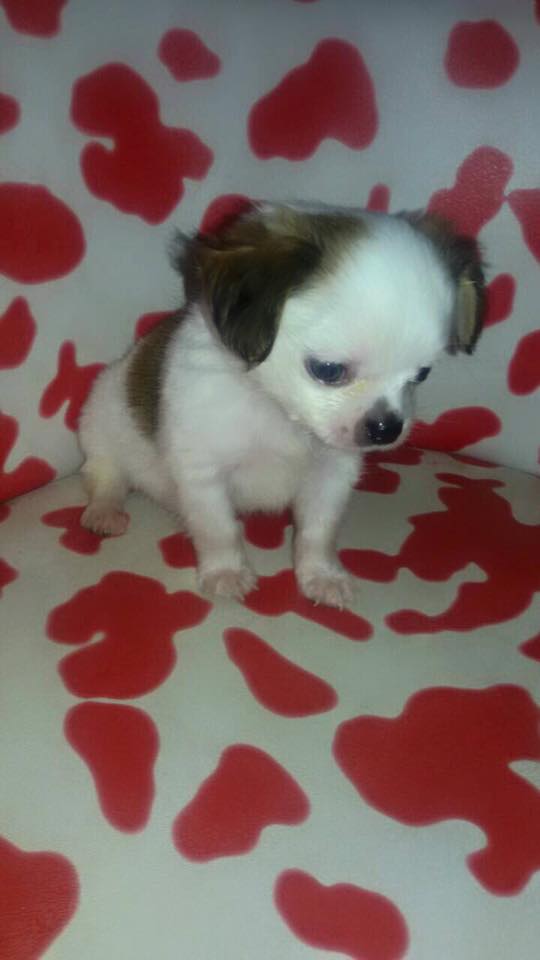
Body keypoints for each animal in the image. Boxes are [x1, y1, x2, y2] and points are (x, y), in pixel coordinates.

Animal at [78, 202, 485, 607]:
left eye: (422, 374)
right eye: (327, 370)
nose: (386, 428)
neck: (279, 412)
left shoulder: (332, 475)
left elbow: (318, 531)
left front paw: (321, 575)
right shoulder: (204, 474)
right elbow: (218, 528)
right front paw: (226, 571)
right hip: (100, 418)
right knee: (106, 474)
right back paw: (105, 511)